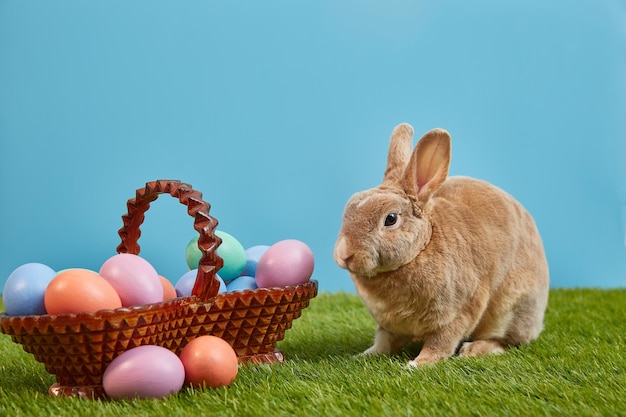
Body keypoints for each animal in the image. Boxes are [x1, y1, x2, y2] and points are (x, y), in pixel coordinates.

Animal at [332, 122, 544, 364]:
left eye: (391, 219)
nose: (344, 254)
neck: (420, 249)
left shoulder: (457, 313)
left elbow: (441, 342)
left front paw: (418, 364)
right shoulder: (388, 325)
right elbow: (383, 342)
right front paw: (363, 356)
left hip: (512, 309)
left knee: (507, 341)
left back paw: (475, 349)